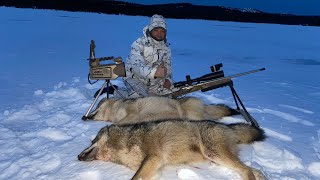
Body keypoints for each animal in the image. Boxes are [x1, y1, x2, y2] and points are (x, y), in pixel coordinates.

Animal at [79, 119, 266, 180]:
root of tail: (227, 126)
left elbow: (134, 178)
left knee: (247, 171)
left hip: (214, 154)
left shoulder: (153, 158)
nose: (78, 156)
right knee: (253, 170)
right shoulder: (154, 169)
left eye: (92, 140)